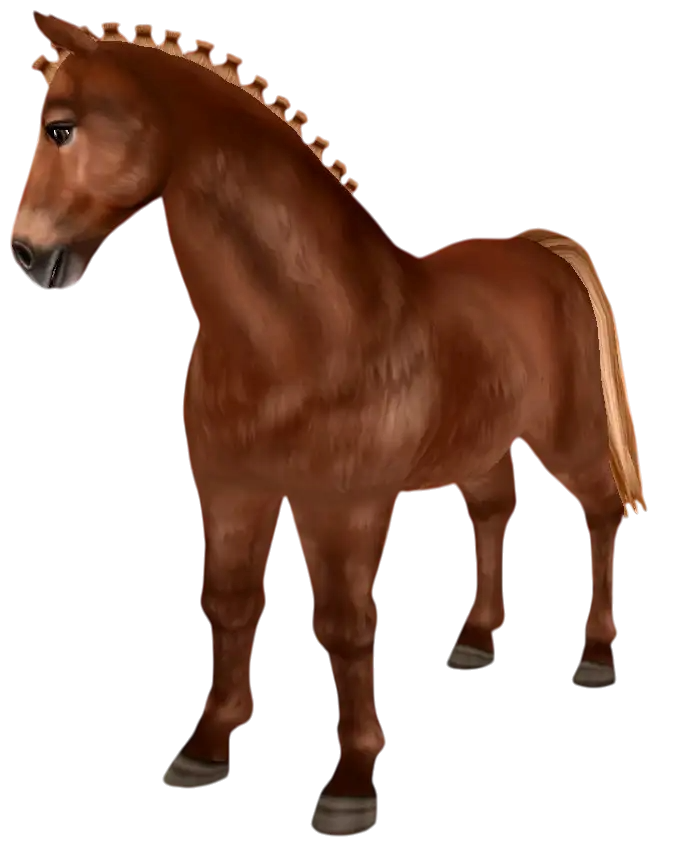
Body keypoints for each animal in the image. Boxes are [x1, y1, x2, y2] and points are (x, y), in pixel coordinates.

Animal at [11, 12, 646, 836]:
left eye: (59, 128)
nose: (29, 255)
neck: (306, 328)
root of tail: (540, 251)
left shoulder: (343, 505)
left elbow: (345, 624)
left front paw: (350, 783)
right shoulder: (231, 489)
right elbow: (230, 603)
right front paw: (206, 747)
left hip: (563, 434)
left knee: (599, 512)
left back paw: (596, 656)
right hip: (478, 445)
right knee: (492, 510)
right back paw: (475, 639)